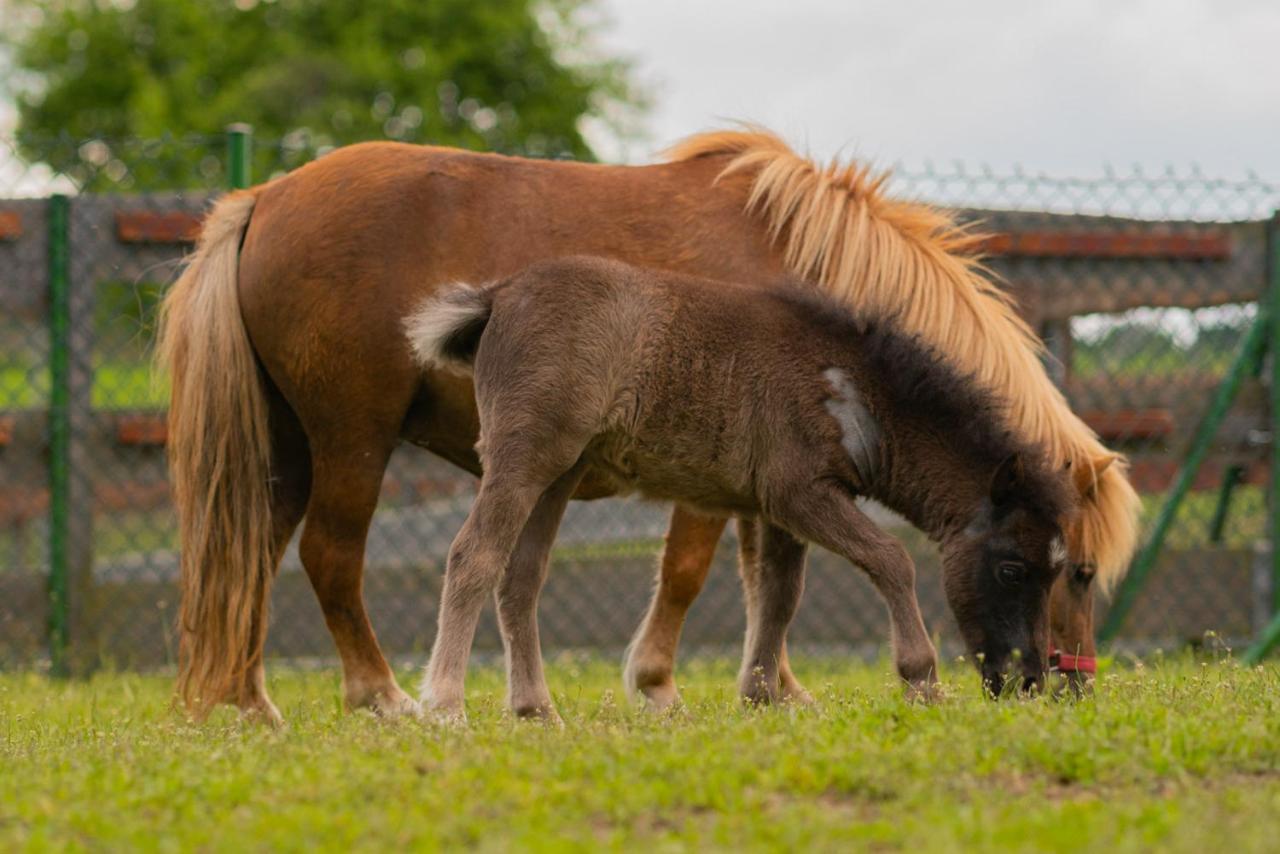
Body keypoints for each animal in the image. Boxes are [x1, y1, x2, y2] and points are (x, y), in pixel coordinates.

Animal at [407, 256, 1070, 717]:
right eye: (1012, 568)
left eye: (1057, 572)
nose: (1029, 682)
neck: (853, 384)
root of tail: (498, 295)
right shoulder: (800, 493)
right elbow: (891, 560)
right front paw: (923, 681)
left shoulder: (779, 508)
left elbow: (779, 593)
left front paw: (760, 697)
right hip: (522, 456)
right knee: (474, 556)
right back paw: (443, 705)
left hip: (559, 473)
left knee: (520, 578)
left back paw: (535, 710)